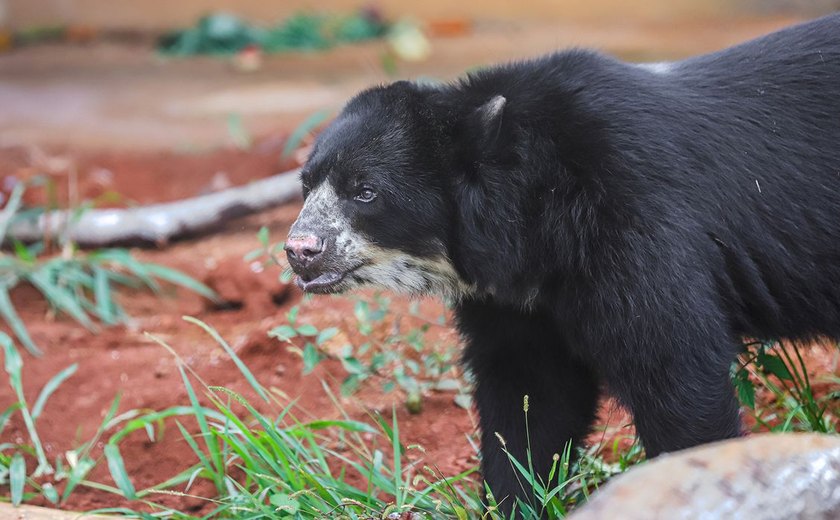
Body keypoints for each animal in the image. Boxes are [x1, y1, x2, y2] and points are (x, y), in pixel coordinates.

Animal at [282, 12, 840, 516]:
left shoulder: (637, 223)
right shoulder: (516, 301)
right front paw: (516, 502)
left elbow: (675, 368)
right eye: (306, 185)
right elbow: (531, 401)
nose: (300, 250)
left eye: (365, 192)